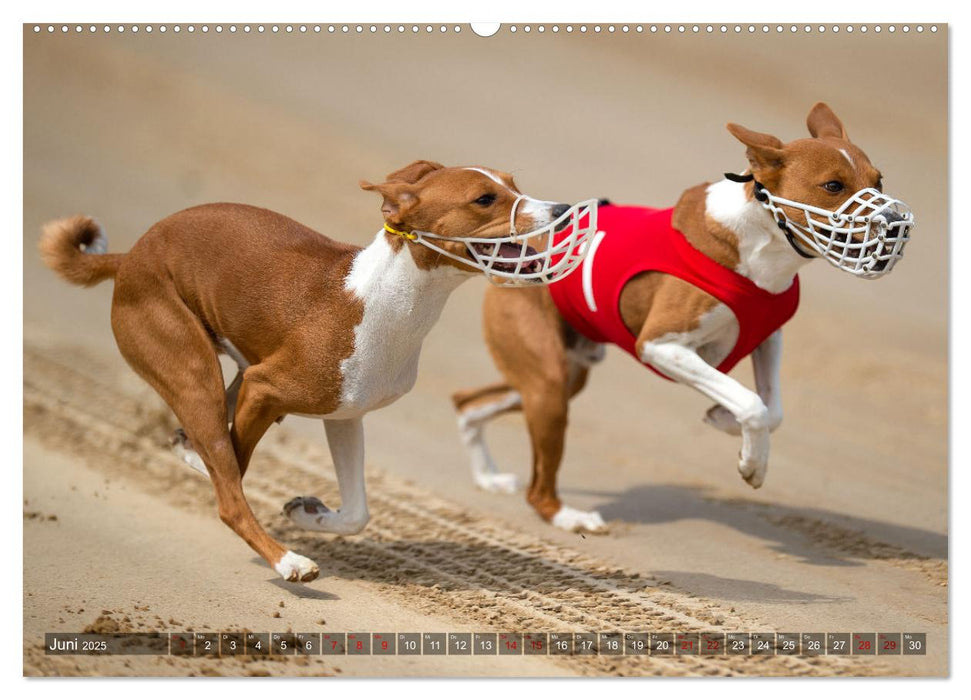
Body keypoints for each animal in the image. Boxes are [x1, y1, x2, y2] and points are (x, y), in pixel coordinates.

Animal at [41, 161, 600, 584]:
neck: (389, 304)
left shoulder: (343, 413)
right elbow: (233, 472)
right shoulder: (266, 389)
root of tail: (129, 256)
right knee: (228, 492)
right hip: (193, 371)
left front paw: (309, 513)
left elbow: (356, 513)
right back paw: (287, 561)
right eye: (485, 198)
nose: (563, 211)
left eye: (513, 182)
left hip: (230, 375)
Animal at [452, 102, 916, 532]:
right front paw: (752, 462)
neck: (760, 255)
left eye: (878, 180)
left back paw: (488, 477)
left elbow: (773, 409)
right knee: (535, 486)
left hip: (560, 380)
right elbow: (753, 405)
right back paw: (567, 517)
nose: (895, 222)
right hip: (549, 383)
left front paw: (728, 425)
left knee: (468, 403)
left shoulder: (768, 338)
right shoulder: (662, 346)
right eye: (833, 186)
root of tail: (519, 252)